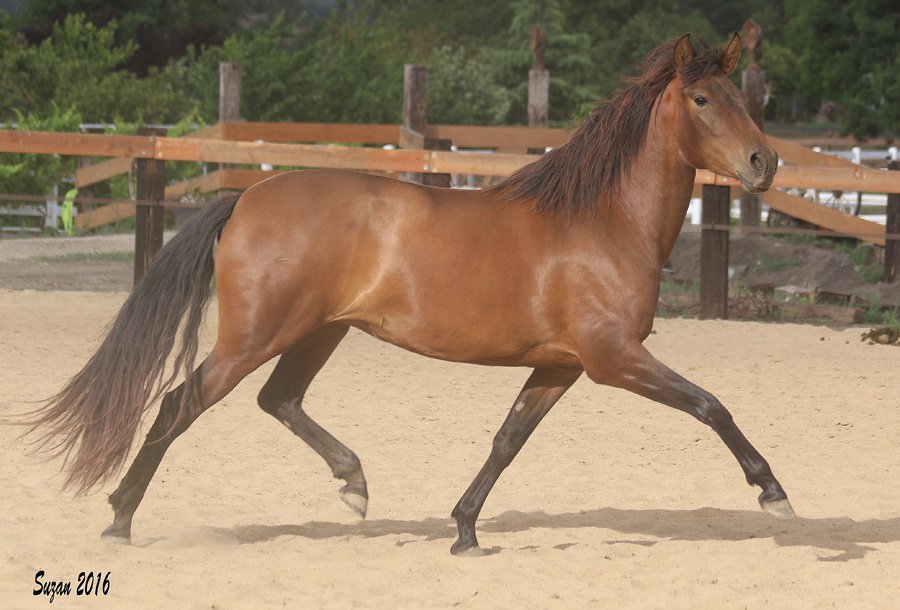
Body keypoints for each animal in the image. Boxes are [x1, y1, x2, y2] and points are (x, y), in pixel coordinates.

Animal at [27, 33, 792, 556]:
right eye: (702, 99)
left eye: (747, 100)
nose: (765, 163)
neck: (604, 220)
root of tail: (246, 197)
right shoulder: (613, 358)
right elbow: (711, 406)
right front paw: (774, 494)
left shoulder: (559, 365)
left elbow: (507, 440)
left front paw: (464, 531)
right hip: (256, 335)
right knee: (179, 404)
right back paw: (120, 518)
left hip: (318, 331)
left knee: (279, 399)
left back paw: (354, 485)